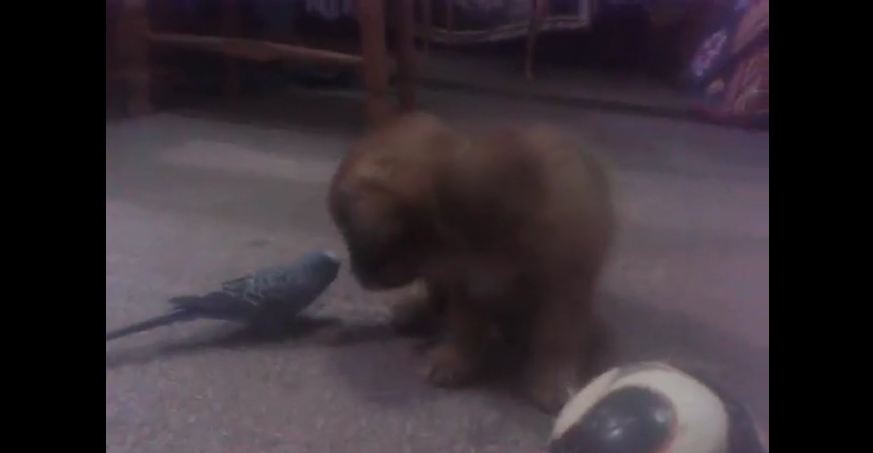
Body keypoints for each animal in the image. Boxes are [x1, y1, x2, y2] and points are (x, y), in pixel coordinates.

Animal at [328, 112, 612, 410]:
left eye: (351, 234)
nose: (355, 273)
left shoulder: (563, 288)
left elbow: (556, 338)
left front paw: (553, 381)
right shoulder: (466, 287)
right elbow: (466, 328)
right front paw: (454, 361)